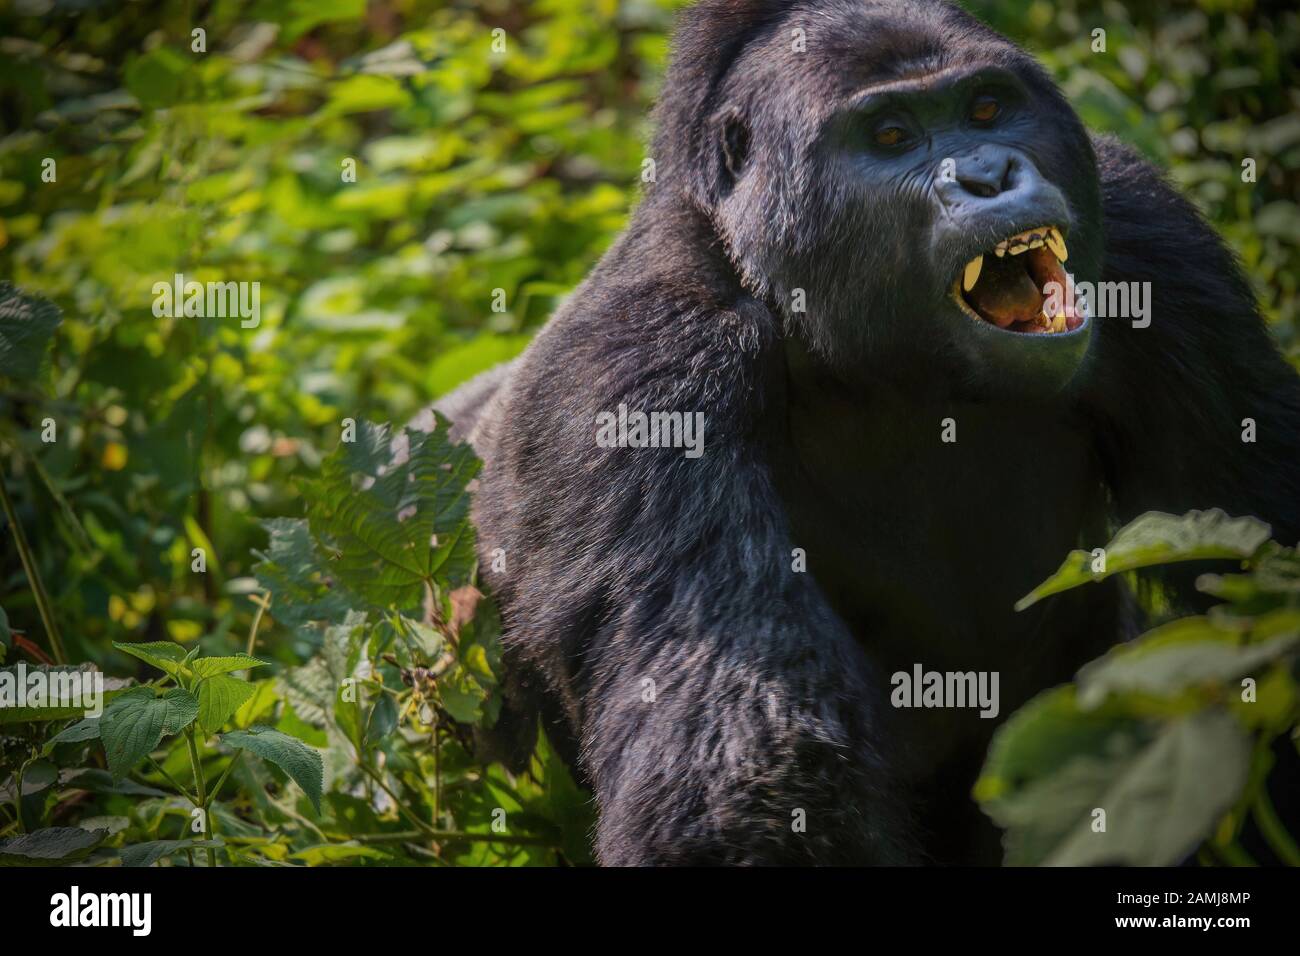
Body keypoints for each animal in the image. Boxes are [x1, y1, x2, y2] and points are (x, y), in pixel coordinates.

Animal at [416, 1, 1300, 868]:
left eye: (987, 109)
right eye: (892, 136)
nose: (988, 176)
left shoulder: (1154, 237)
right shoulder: (636, 370)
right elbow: (750, 780)